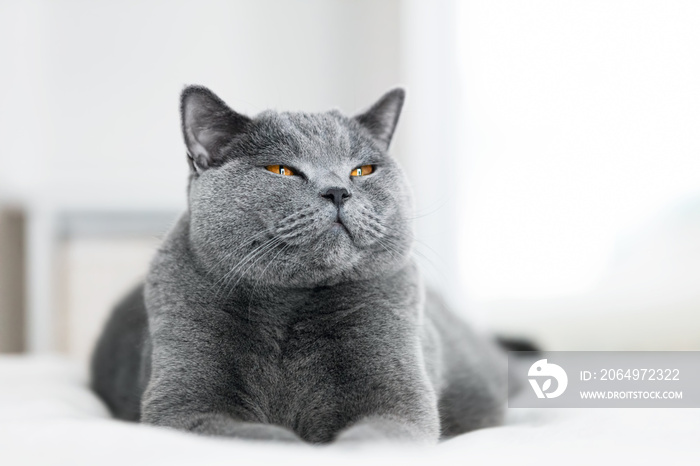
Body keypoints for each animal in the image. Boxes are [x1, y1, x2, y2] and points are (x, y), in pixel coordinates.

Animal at [91, 87, 508, 444]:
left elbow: (370, 437)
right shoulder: (184, 409)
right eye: (282, 170)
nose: (339, 191)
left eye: (362, 170)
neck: (289, 309)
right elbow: (263, 439)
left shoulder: (396, 402)